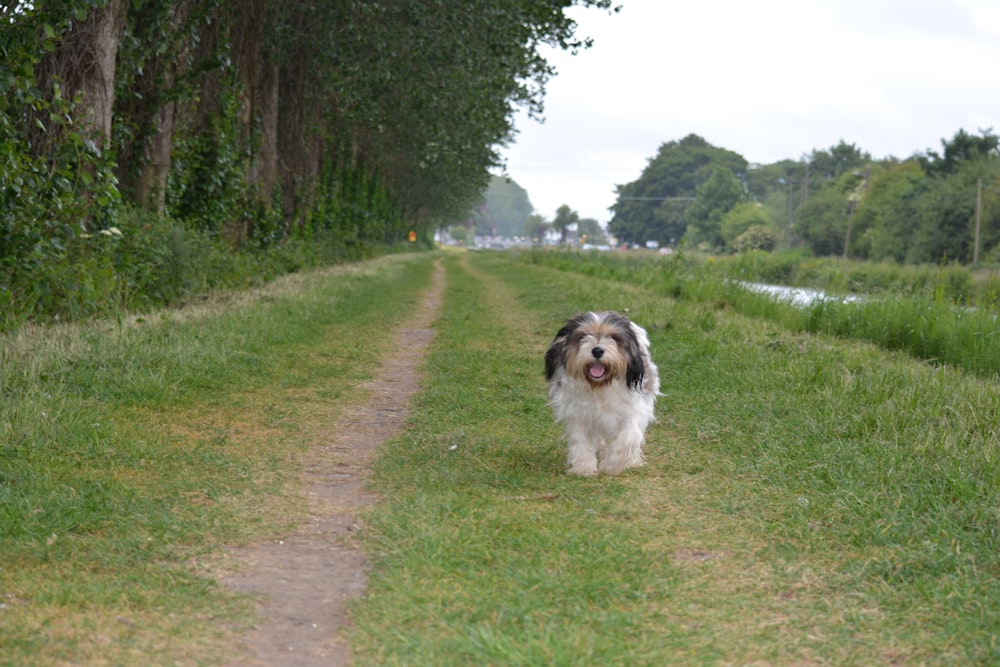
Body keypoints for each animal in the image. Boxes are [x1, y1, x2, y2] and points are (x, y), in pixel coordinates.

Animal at [544, 310, 660, 478]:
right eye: (583, 336)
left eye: (613, 337)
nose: (597, 350)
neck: (599, 386)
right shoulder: (577, 415)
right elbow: (581, 442)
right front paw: (584, 468)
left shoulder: (632, 411)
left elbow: (626, 438)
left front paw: (613, 465)